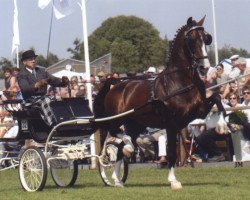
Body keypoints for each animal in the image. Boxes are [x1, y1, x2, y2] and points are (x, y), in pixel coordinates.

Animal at [93, 16, 226, 190]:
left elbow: (216, 98)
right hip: (117, 120)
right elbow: (172, 153)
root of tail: (115, 84)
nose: (205, 68)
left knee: (122, 148)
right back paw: (121, 160)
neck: (178, 82)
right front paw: (173, 181)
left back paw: (117, 179)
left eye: (206, 39)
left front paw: (222, 124)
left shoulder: (198, 112)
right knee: (117, 136)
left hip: (136, 124)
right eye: (191, 39)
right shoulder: (171, 123)